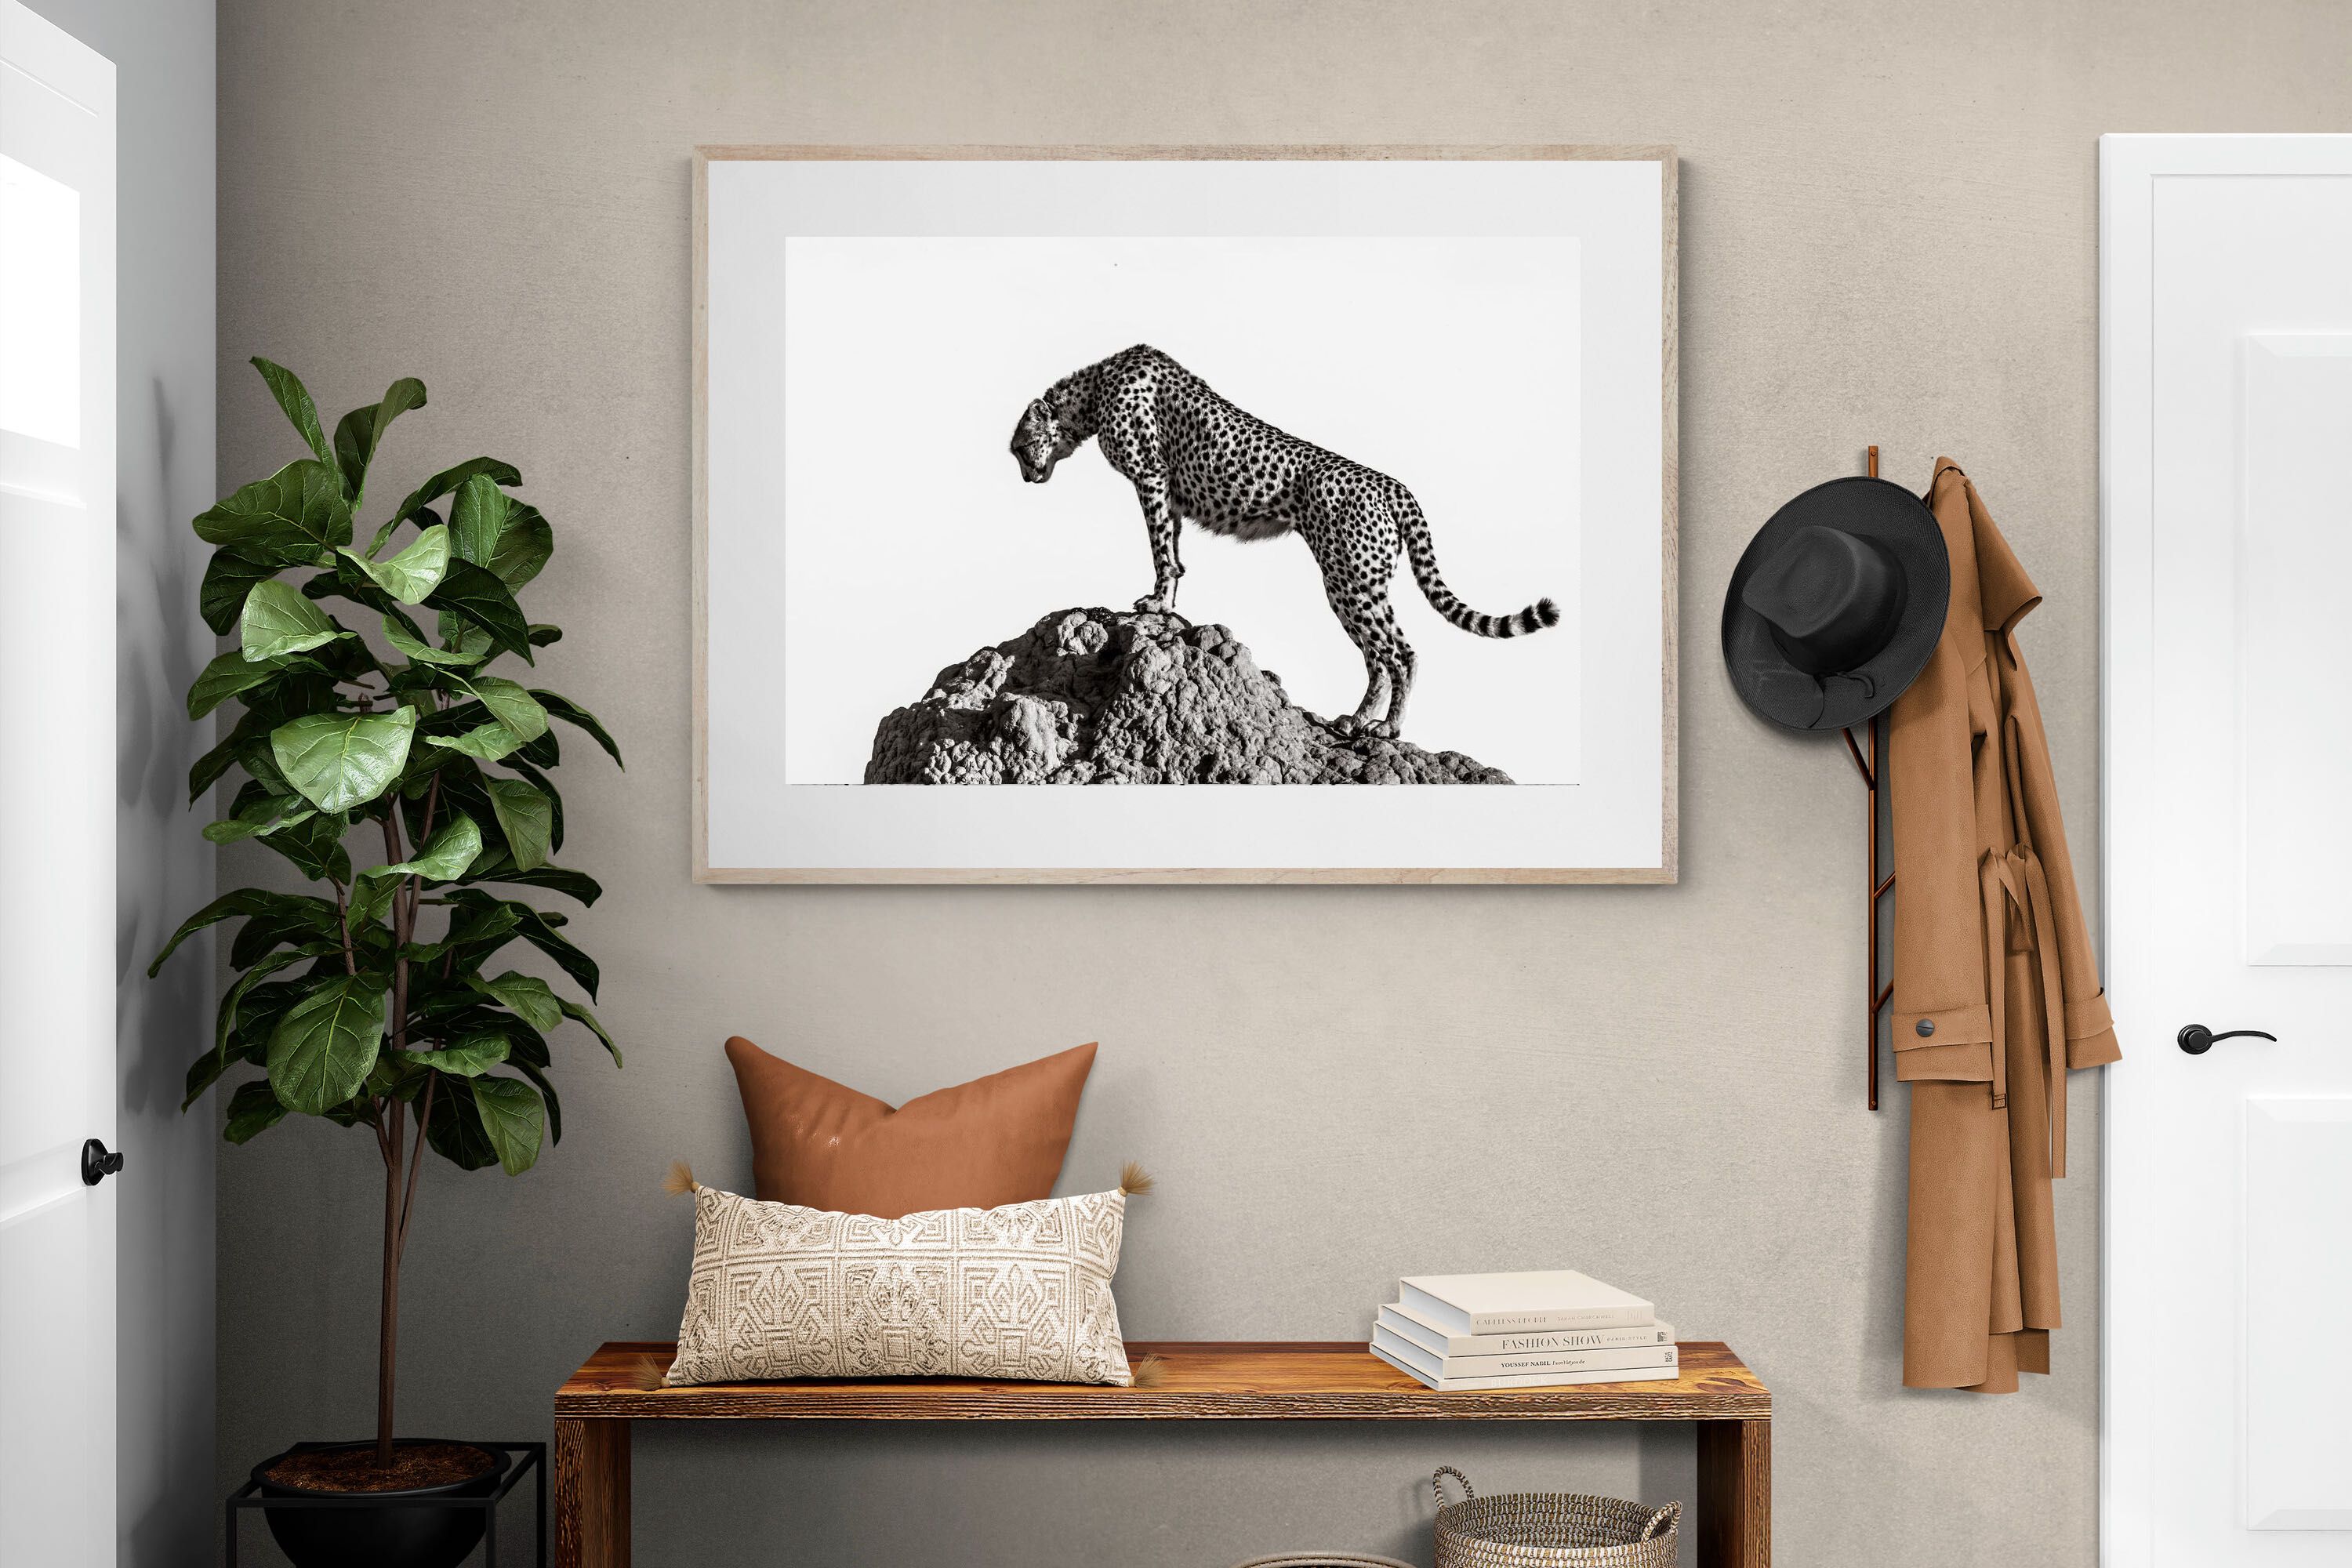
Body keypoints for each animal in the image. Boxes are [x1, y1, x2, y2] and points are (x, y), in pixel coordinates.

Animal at [1009, 344, 1559, 739]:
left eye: (1018, 447)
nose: (1026, 477)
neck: (1093, 389)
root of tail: (1393, 485)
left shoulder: (1151, 479)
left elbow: (1161, 550)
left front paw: (1155, 605)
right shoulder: (1172, 496)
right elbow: (1176, 555)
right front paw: (1168, 604)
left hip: (1349, 580)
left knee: (1399, 652)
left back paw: (1388, 728)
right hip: (1360, 584)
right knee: (1378, 657)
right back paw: (1357, 720)